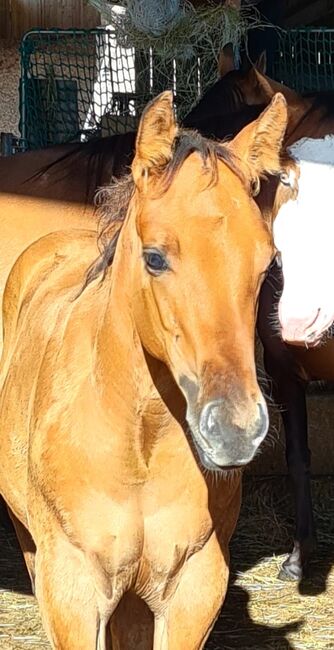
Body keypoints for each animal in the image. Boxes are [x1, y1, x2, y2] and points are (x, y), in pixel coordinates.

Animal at [0, 91, 288, 648]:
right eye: (154, 257)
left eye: (267, 264)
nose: (235, 430)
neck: (138, 449)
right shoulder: (72, 591)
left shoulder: (195, 586)